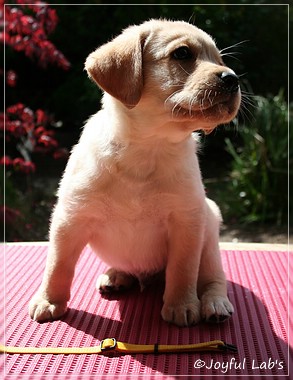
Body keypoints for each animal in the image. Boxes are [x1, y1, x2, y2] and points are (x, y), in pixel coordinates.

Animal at [29, 19, 240, 326]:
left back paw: (214, 304)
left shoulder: (187, 222)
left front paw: (181, 305)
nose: (233, 79)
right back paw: (116, 275)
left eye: (221, 60)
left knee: (213, 278)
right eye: (182, 53)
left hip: (210, 235)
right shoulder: (70, 218)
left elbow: (183, 270)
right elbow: (58, 265)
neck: (148, 147)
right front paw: (48, 300)